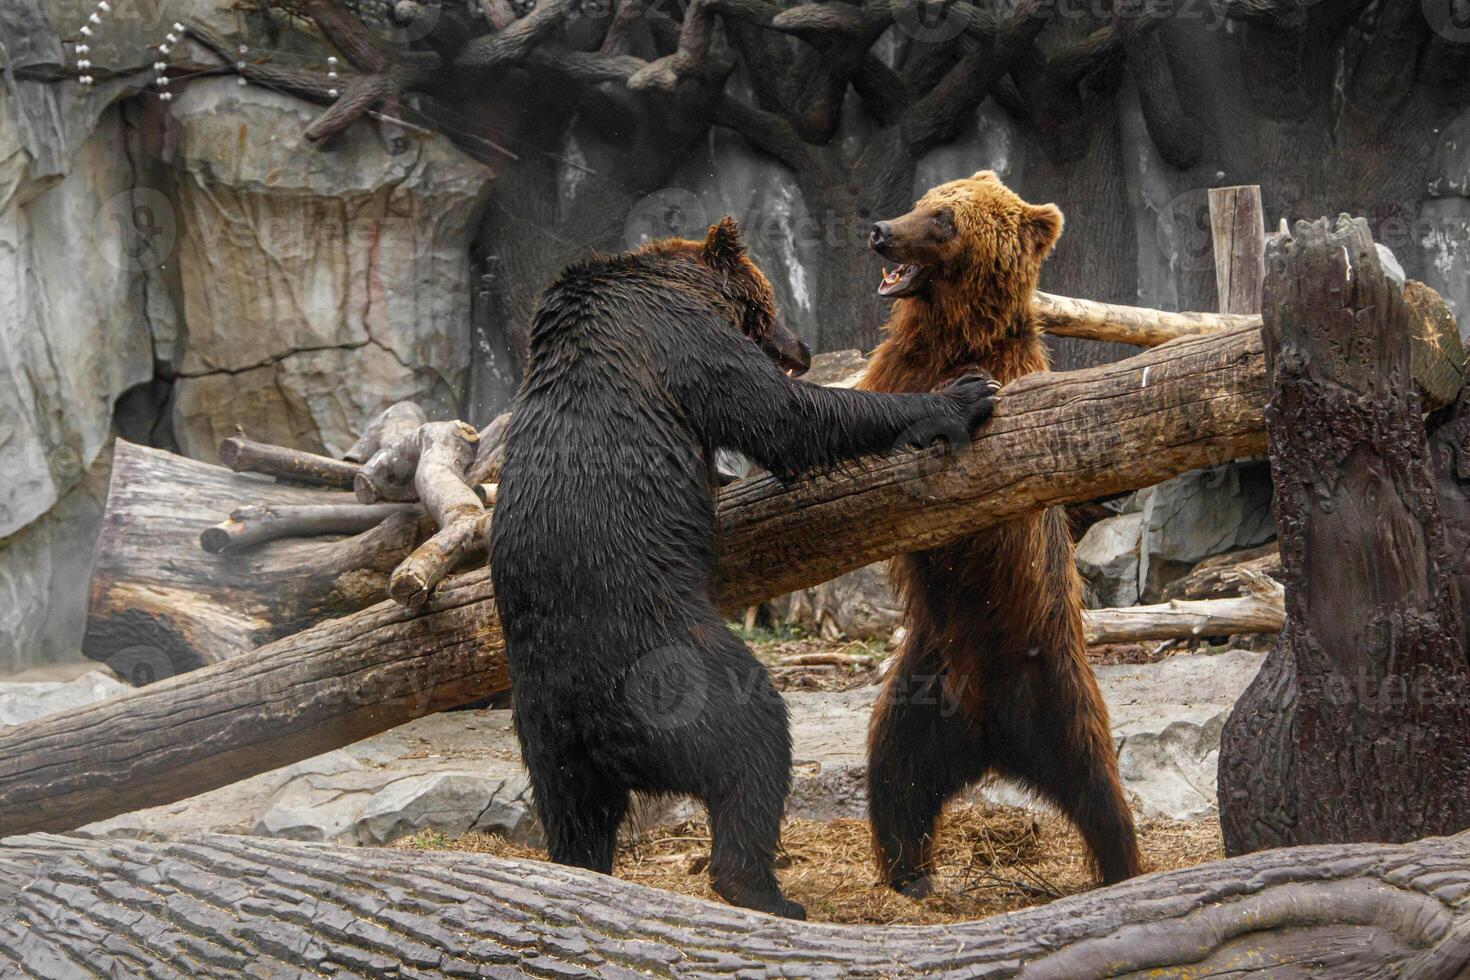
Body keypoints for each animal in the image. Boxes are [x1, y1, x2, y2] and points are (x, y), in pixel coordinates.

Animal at [858, 172, 1146, 893]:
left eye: (943, 220)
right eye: (924, 199)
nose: (880, 230)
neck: (953, 335)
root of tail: (990, 736)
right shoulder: (897, 362)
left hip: (1056, 688)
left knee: (1099, 792)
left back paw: (1121, 868)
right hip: (920, 685)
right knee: (894, 776)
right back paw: (908, 872)